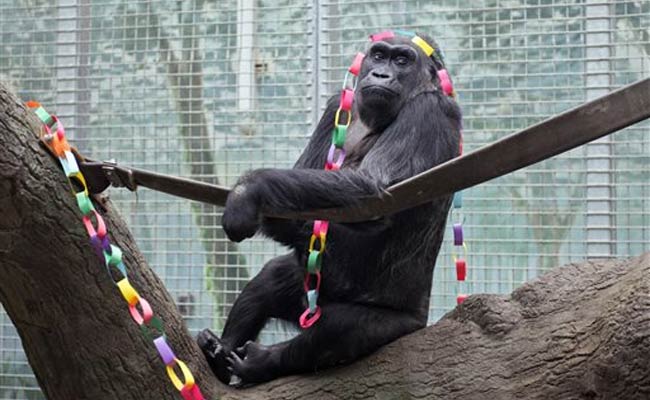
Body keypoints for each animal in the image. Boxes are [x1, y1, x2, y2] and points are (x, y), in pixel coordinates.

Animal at [197, 29, 460, 386]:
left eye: (402, 60)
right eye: (379, 56)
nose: (381, 74)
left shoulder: (430, 110)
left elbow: (371, 188)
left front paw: (248, 190)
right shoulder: (336, 106)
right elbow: (307, 173)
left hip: (399, 325)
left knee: (338, 329)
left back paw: (260, 362)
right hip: (307, 290)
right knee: (270, 281)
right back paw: (221, 352)